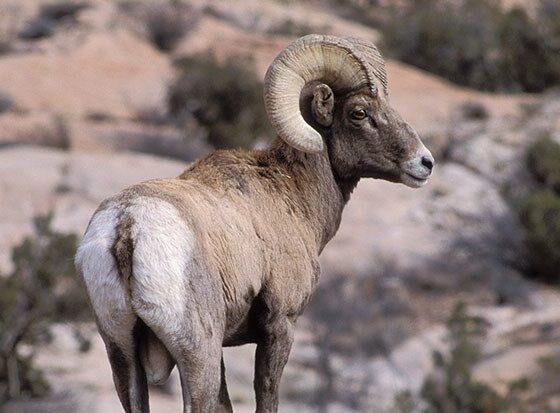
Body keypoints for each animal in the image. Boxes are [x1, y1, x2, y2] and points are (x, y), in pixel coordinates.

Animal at [74, 34, 434, 412]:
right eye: (359, 112)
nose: (425, 162)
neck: (291, 195)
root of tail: (127, 226)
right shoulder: (280, 325)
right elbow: (266, 393)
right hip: (197, 352)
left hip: (122, 354)